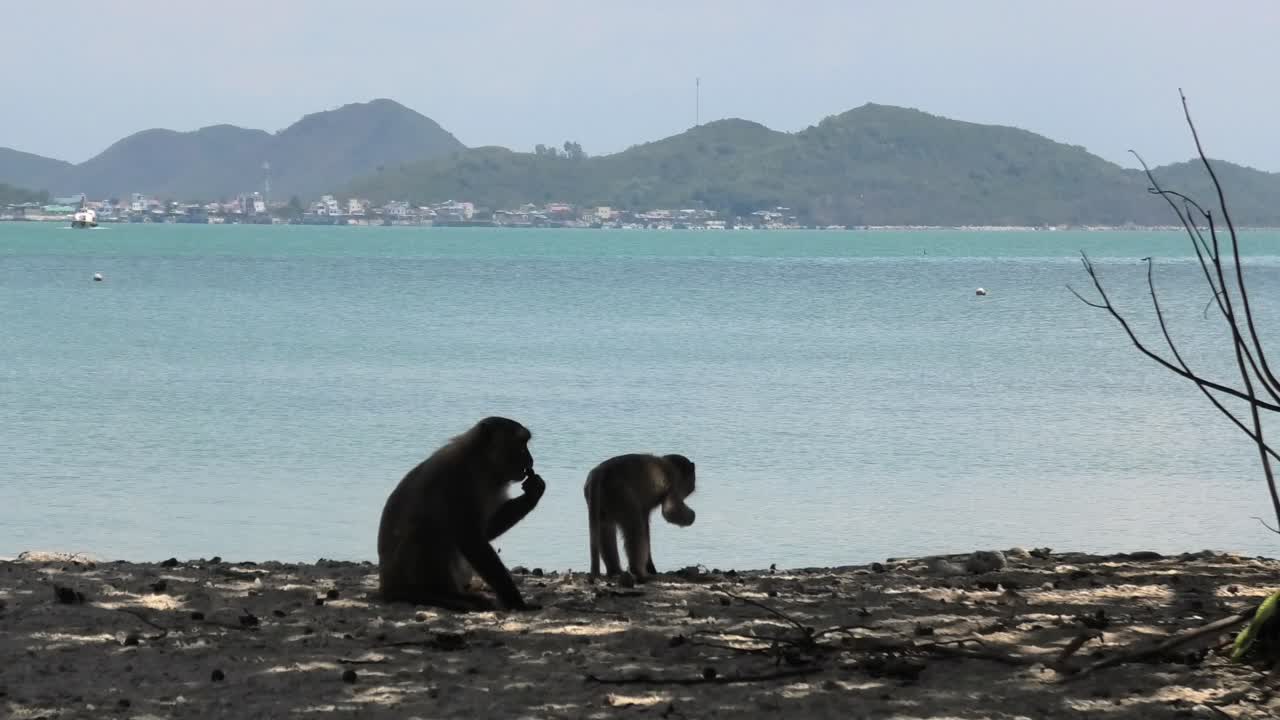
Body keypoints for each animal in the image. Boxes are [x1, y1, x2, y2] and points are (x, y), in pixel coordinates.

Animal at [377, 416, 545, 612]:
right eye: (520, 444)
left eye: (525, 443)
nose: (530, 460)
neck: (481, 463)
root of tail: (387, 588)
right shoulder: (458, 480)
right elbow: (471, 538)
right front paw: (516, 602)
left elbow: (486, 530)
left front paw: (533, 493)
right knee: (428, 531)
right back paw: (438, 595)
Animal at [583, 453, 696, 583]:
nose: (693, 486)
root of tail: (600, 473)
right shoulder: (673, 482)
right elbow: (670, 511)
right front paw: (692, 516)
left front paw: (650, 566)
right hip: (620, 493)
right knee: (635, 527)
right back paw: (638, 573)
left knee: (605, 529)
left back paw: (615, 571)